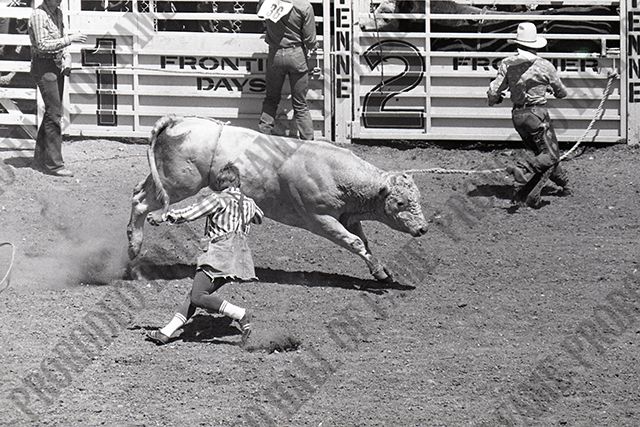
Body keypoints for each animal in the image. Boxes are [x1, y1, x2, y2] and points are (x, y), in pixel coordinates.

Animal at [127, 115, 429, 282]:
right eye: (400, 203)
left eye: (418, 198)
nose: (423, 228)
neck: (335, 173)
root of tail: (178, 120)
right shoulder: (319, 218)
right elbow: (353, 242)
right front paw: (378, 270)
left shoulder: (348, 217)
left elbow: (363, 242)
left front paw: (380, 271)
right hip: (179, 182)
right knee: (141, 203)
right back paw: (134, 247)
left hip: (163, 177)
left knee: (137, 194)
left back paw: (133, 250)